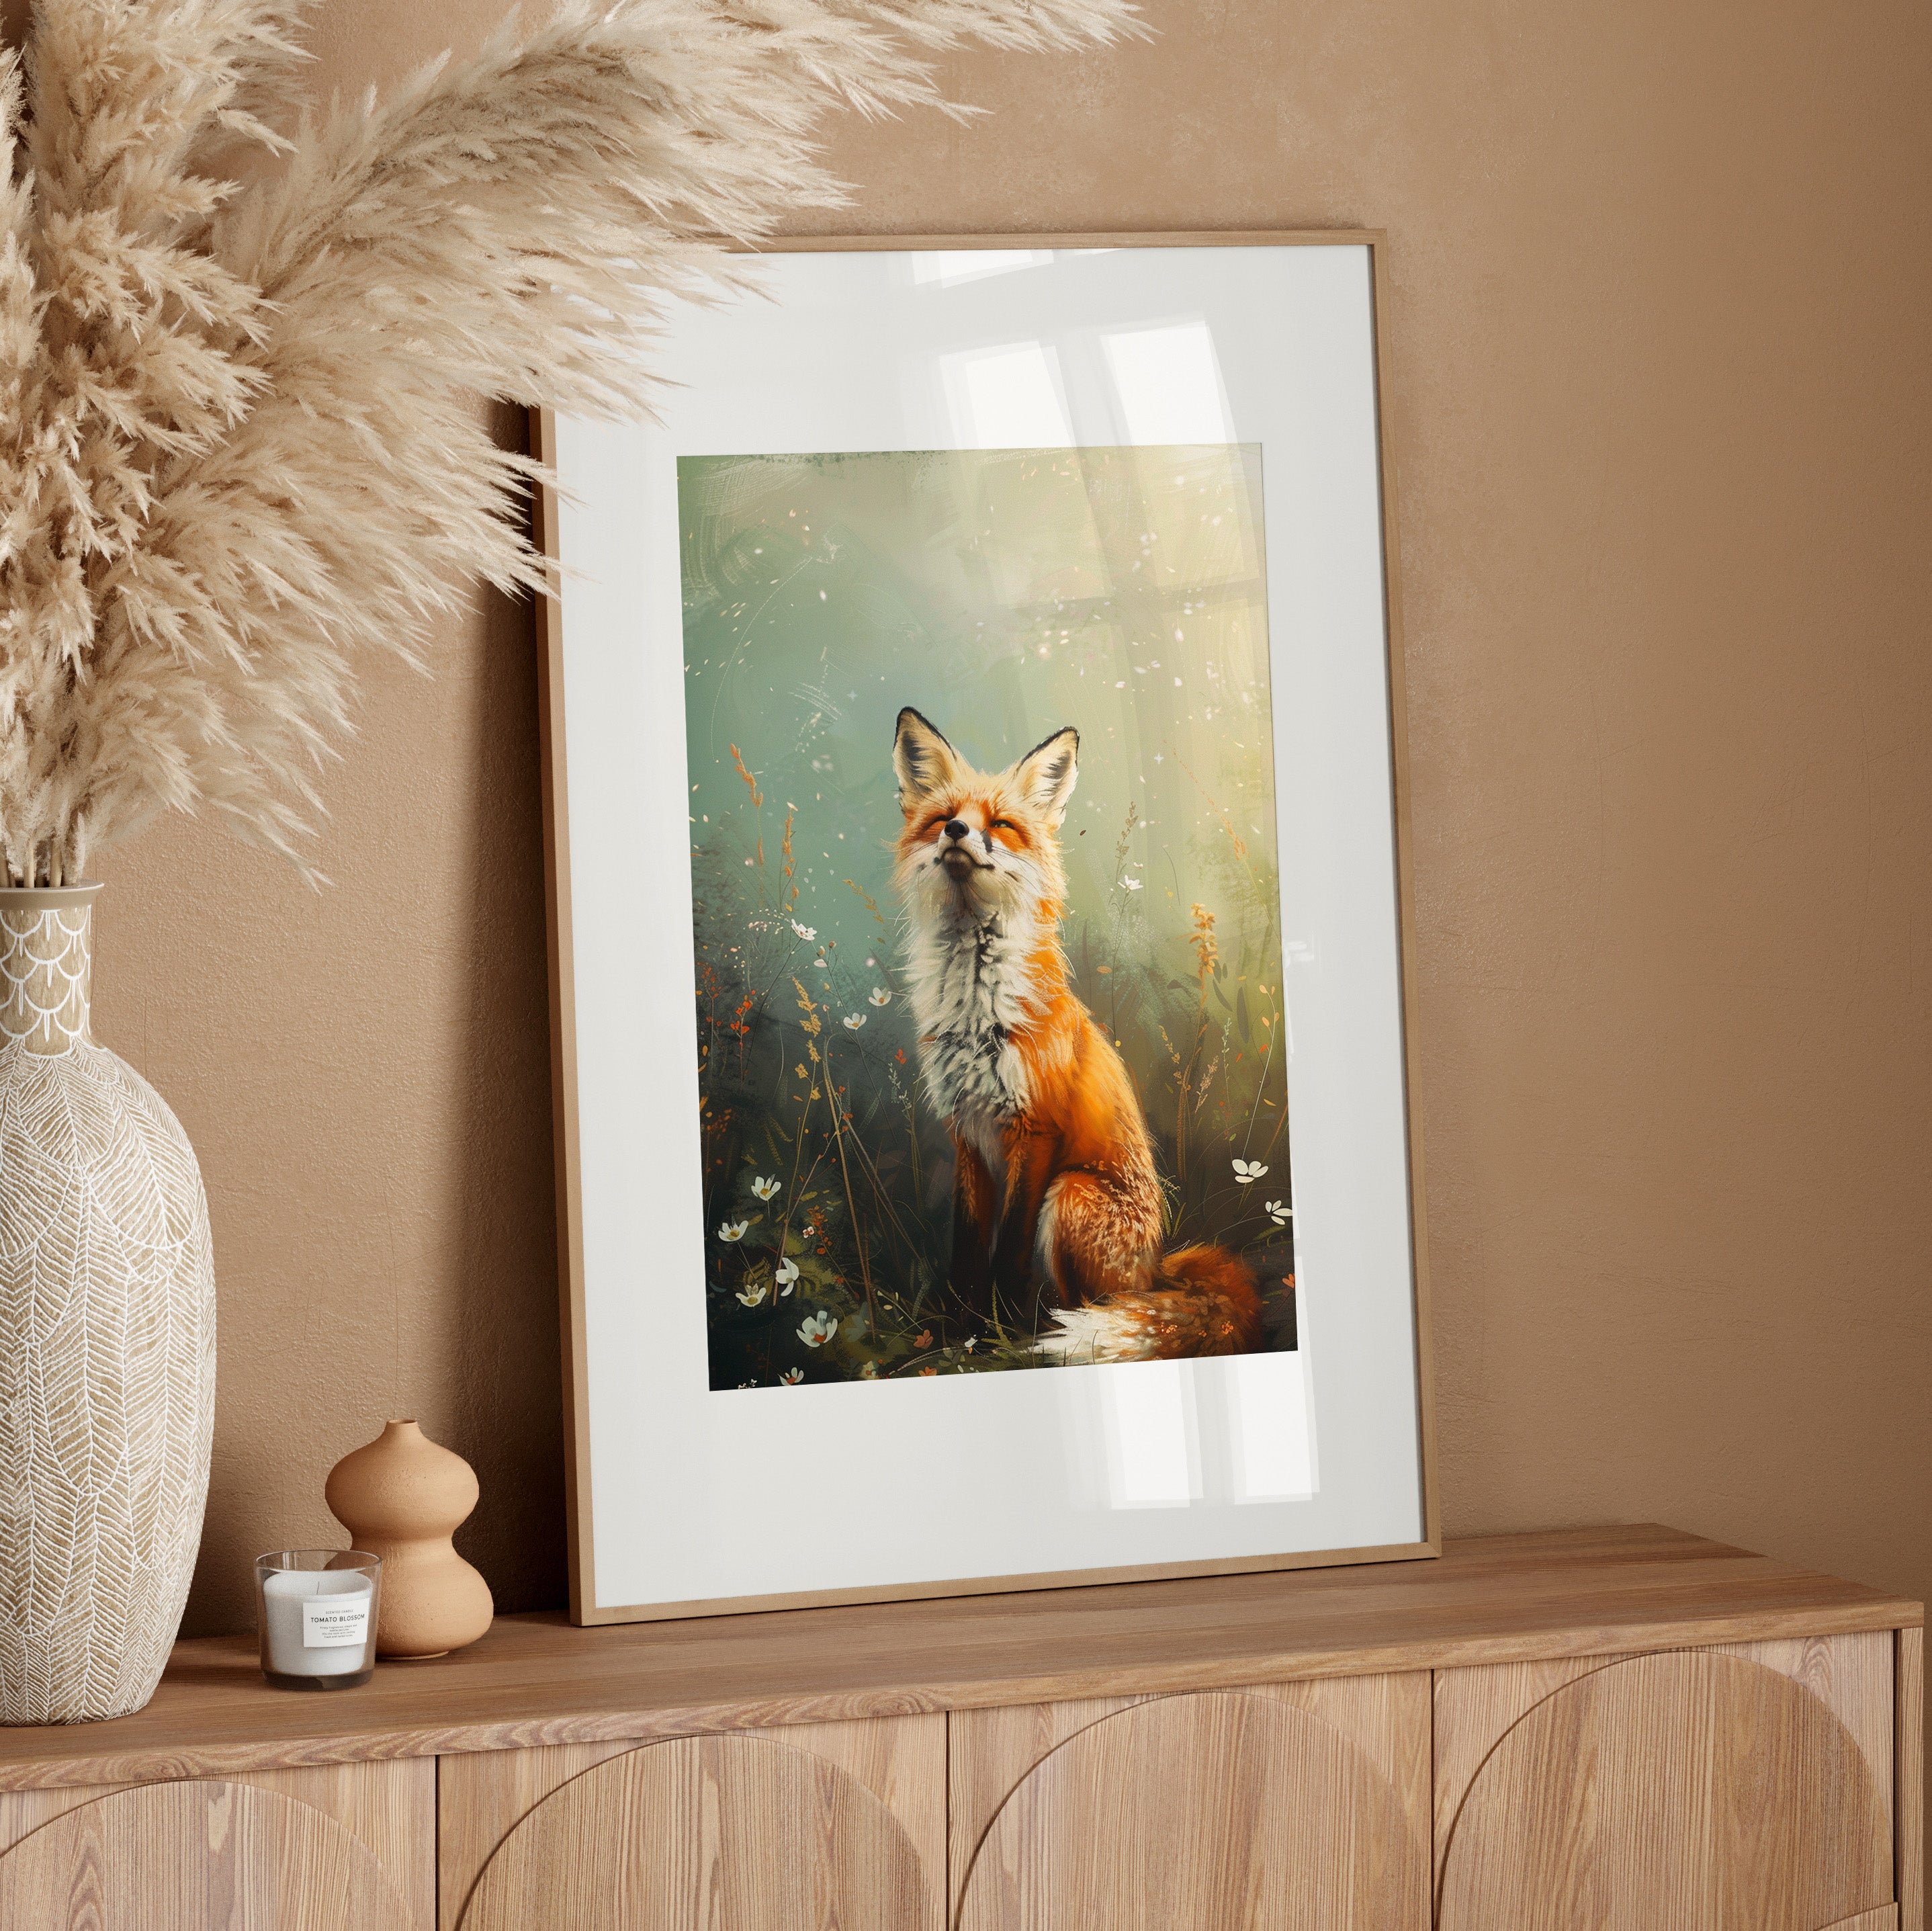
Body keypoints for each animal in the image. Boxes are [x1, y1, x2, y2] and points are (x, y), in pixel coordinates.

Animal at [890, 706, 1262, 1364]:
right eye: (942, 817)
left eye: (1002, 825)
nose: (956, 832)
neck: (977, 1006)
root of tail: (1156, 1270)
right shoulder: (967, 1133)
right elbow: (967, 1250)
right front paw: (957, 1332)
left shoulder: (1035, 1129)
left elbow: (1008, 1256)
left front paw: (1000, 1336)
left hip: (1069, 1194)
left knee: (1100, 1306)